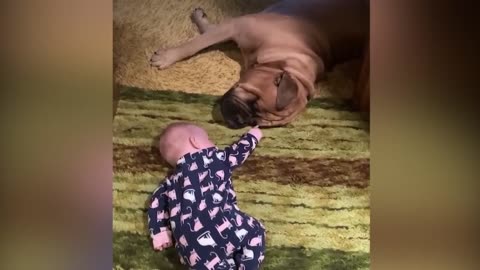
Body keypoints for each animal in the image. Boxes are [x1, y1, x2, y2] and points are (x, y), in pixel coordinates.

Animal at [152, 0, 370, 129]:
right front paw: (168, 57)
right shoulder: (235, 26)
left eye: (256, 122)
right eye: (254, 102)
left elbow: (208, 33)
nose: (240, 121)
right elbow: (196, 43)